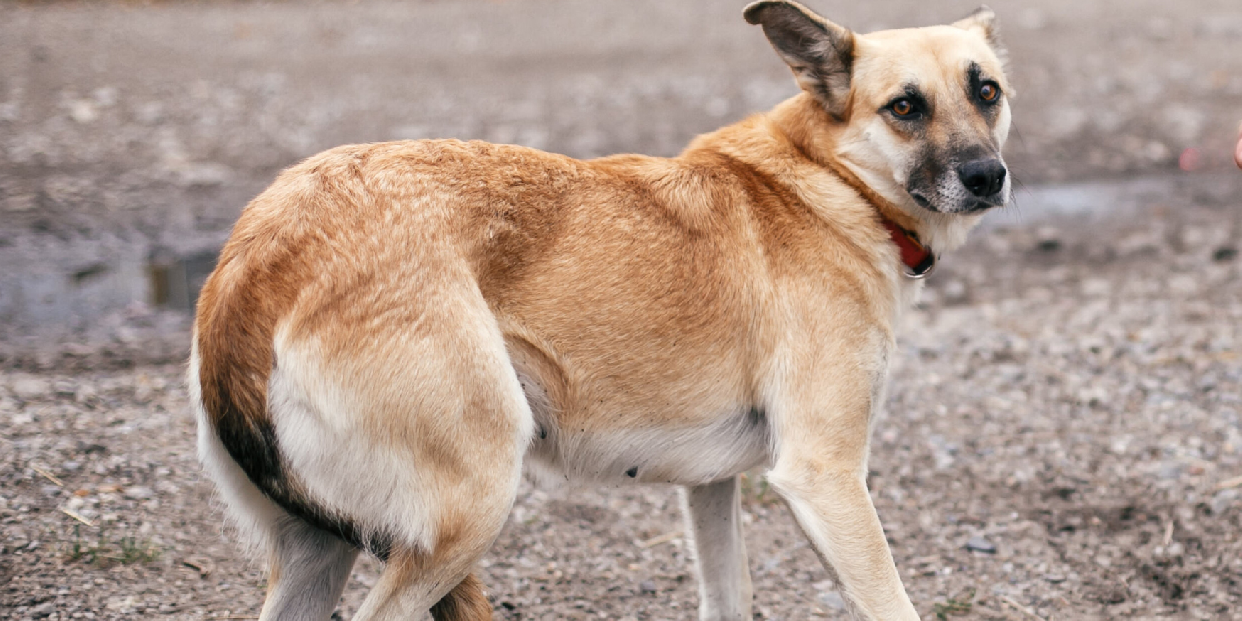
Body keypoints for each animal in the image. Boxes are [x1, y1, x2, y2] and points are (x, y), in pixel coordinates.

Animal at [188, 2, 1013, 618]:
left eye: (988, 92)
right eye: (904, 107)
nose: (988, 176)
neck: (833, 183)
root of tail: (258, 259)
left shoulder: (711, 486)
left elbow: (728, 594)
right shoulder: (825, 476)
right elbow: (890, 599)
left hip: (317, 550)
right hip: (472, 504)